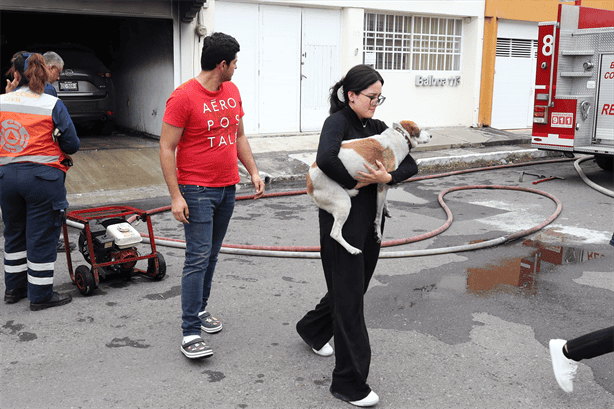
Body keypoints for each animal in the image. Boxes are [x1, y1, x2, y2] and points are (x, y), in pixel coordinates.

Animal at [308, 119, 434, 253]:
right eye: (421, 129)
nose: (431, 136)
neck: (401, 135)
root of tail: (309, 183)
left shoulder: (382, 185)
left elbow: (384, 202)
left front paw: (387, 208)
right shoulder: (382, 184)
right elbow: (378, 215)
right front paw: (377, 232)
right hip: (343, 203)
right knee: (335, 233)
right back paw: (352, 249)